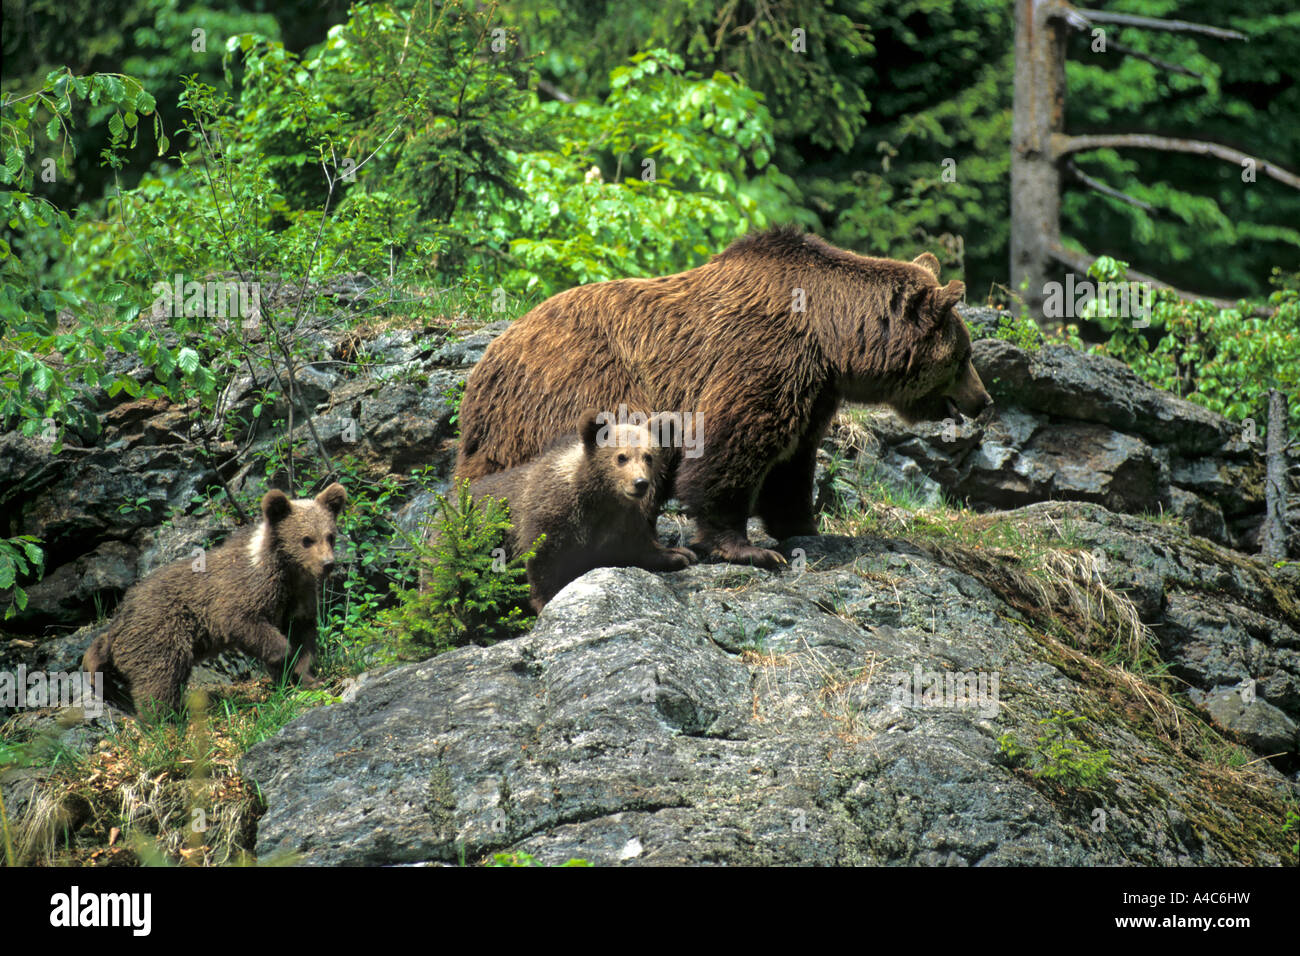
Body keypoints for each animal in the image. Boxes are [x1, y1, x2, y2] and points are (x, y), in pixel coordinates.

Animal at [81, 483, 347, 714]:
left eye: (330, 536)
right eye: (306, 540)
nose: (328, 564)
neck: (286, 570)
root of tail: (119, 618)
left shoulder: (300, 597)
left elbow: (303, 636)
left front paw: (308, 678)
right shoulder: (245, 591)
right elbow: (245, 622)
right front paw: (285, 659)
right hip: (159, 631)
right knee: (160, 675)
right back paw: (164, 719)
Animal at [432, 409, 696, 612]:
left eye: (648, 456)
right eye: (621, 457)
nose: (640, 483)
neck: (598, 498)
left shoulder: (622, 521)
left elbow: (638, 547)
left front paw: (679, 554)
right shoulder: (549, 517)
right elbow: (543, 561)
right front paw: (547, 601)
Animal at [454, 227, 993, 568]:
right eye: (964, 355)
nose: (983, 399)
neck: (830, 336)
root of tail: (484, 369)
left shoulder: (814, 388)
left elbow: (793, 461)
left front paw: (804, 525)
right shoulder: (762, 354)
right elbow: (730, 445)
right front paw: (747, 547)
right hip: (581, 391)